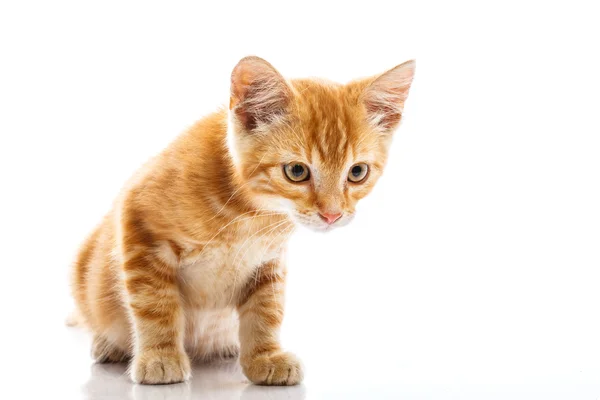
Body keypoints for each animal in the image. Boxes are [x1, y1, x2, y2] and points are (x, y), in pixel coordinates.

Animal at [70, 56, 414, 384]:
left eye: (357, 172)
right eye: (296, 171)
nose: (332, 215)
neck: (252, 215)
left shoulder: (269, 262)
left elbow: (266, 311)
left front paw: (265, 357)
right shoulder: (139, 221)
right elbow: (155, 304)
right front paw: (160, 356)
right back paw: (108, 344)